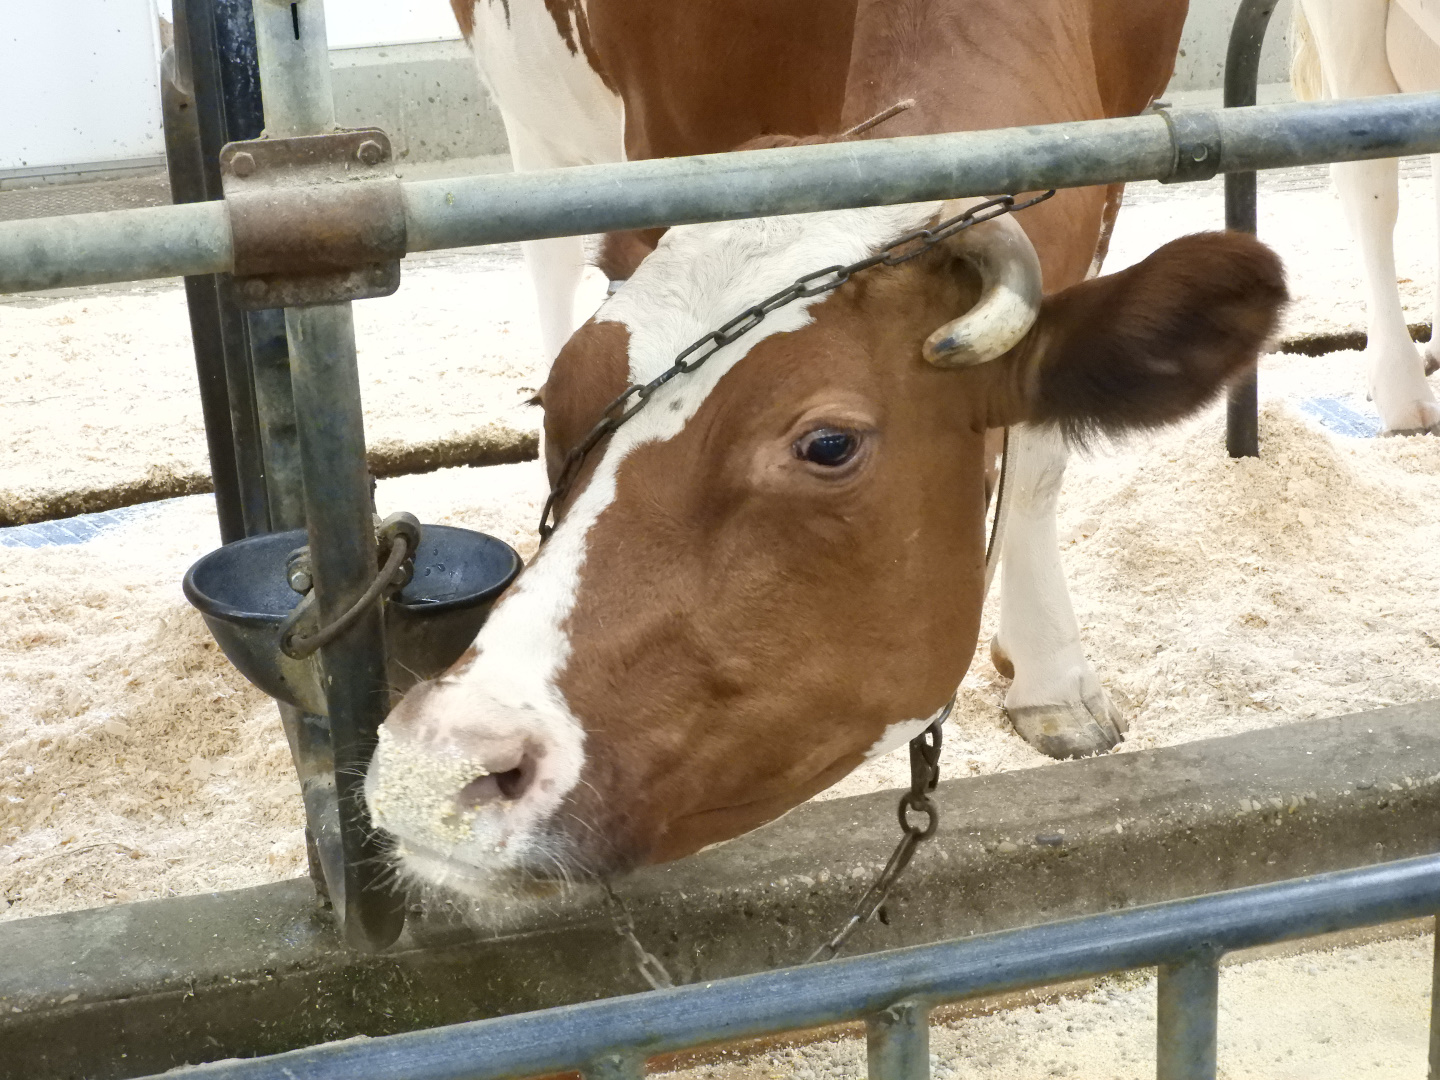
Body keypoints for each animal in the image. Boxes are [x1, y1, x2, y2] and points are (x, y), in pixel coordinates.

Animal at [362, 0, 1288, 894]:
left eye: (830, 444)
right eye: (557, 401)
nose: (432, 766)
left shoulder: (1114, 148)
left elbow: (1036, 459)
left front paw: (1053, 684)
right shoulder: (665, 133)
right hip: (535, 123)